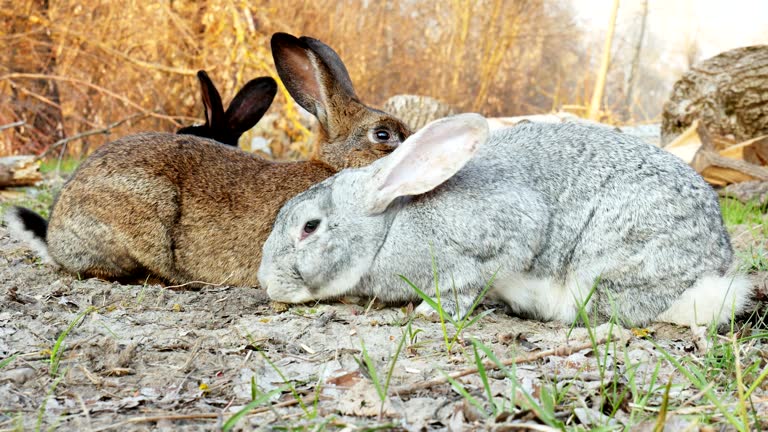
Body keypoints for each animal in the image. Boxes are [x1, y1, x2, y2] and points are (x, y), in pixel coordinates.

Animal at [258, 114, 753, 328]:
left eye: (309, 227)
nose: (266, 284)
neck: (390, 227)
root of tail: (711, 272)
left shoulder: (499, 237)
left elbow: (467, 284)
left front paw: (429, 310)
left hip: (614, 261)